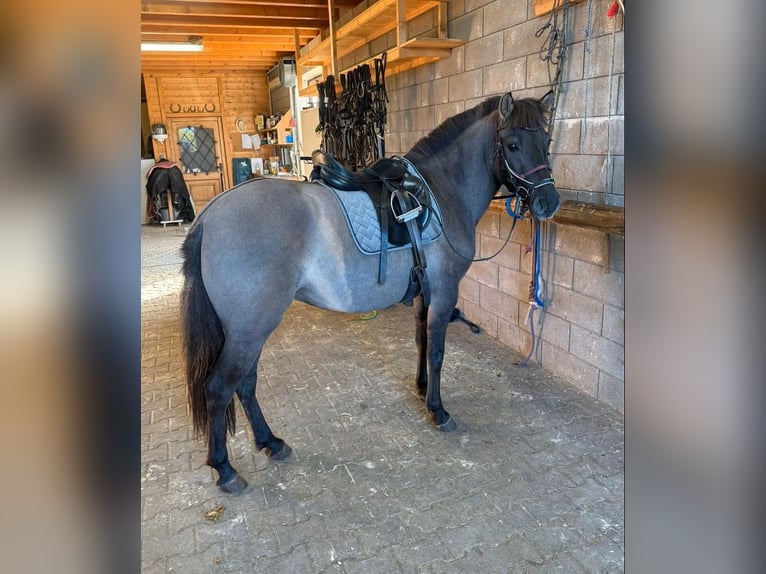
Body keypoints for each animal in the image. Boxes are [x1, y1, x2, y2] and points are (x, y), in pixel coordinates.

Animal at [180, 91, 560, 493]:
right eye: (512, 144)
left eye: (546, 140)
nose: (548, 203)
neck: (441, 192)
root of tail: (209, 217)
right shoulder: (445, 294)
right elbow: (437, 351)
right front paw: (438, 410)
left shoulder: (424, 294)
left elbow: (421, 341)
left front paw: (421, 389)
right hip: (248, 331)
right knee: (219, 389)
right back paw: (225, 469)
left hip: (250, 331)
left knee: (246, 385)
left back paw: (271, 442)